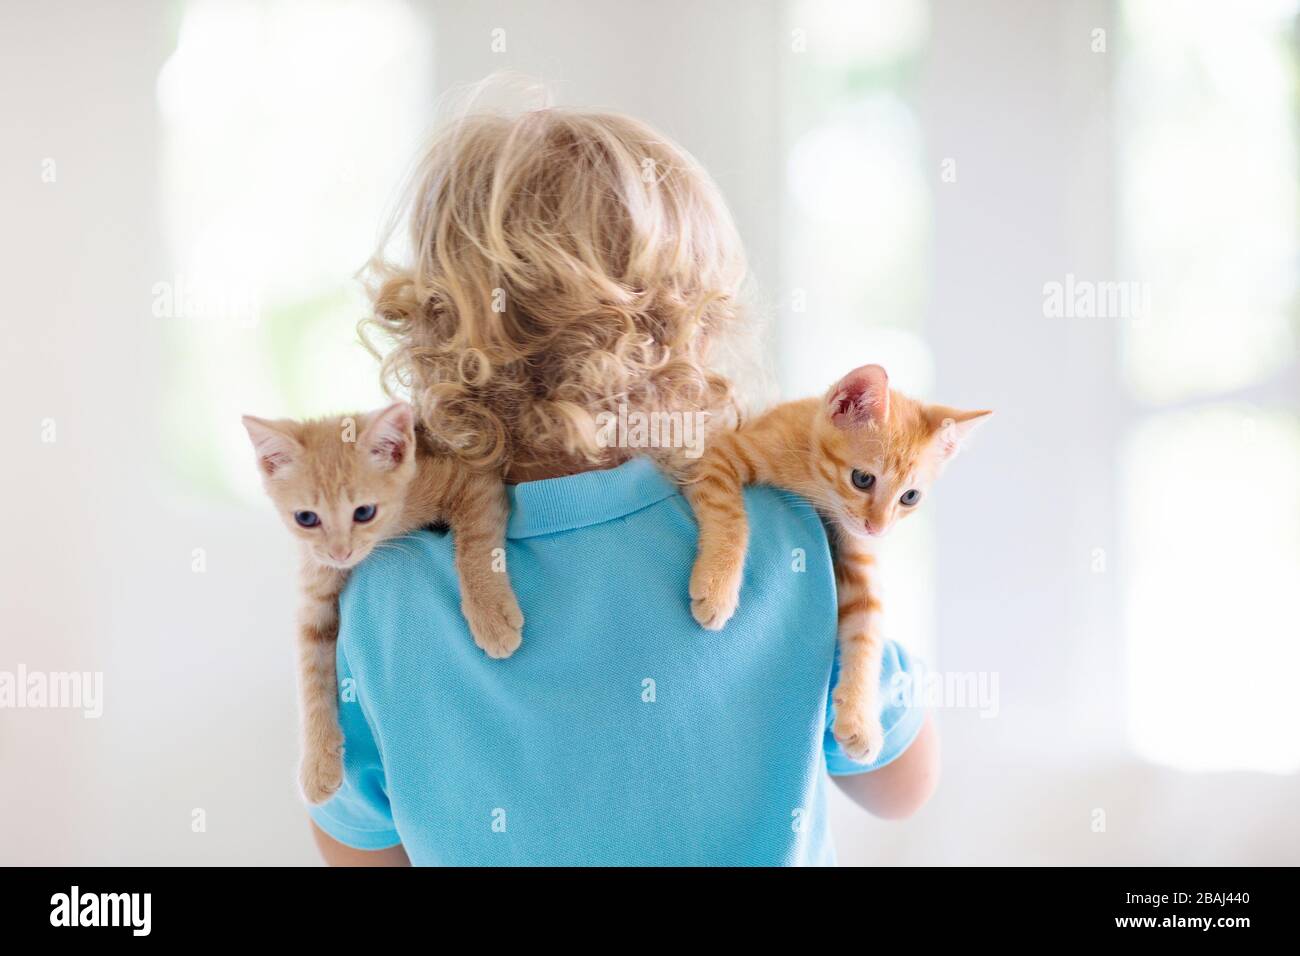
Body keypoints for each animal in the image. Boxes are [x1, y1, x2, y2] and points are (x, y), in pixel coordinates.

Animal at [244, 400, 517, 806]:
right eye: (306, 518)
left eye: (363, 513)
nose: (340, 553)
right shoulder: (315, 590)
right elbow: (310, 673)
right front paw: (317, 761)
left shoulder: (471, 477)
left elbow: (476, 540)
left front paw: (490, 614)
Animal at [686, 364, 987, 764]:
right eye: (863, 479)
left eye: (909, 497)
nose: (877, 527)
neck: (813, 474)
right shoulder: (717, 454)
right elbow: (731, 517)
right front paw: (718, 588)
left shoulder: (859, 554)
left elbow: (868, 630)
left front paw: (859, 716)